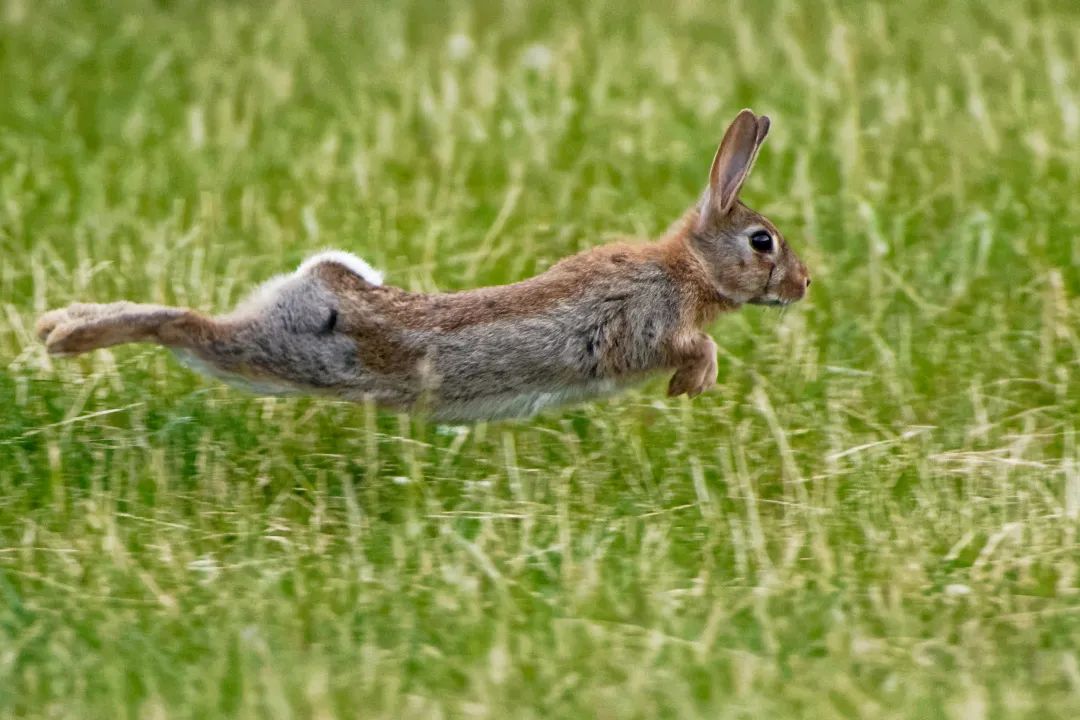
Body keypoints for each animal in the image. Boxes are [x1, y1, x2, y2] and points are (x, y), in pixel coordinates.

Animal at [33, 107, 812, 423]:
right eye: (762, 242)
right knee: (187, 327)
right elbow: (694, 344)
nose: (806, 285)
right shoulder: (644, 323)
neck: (688, 268)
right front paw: (694, 382)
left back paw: (55, 324)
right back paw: (70, 335)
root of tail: (321, 278)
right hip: (290, 354)